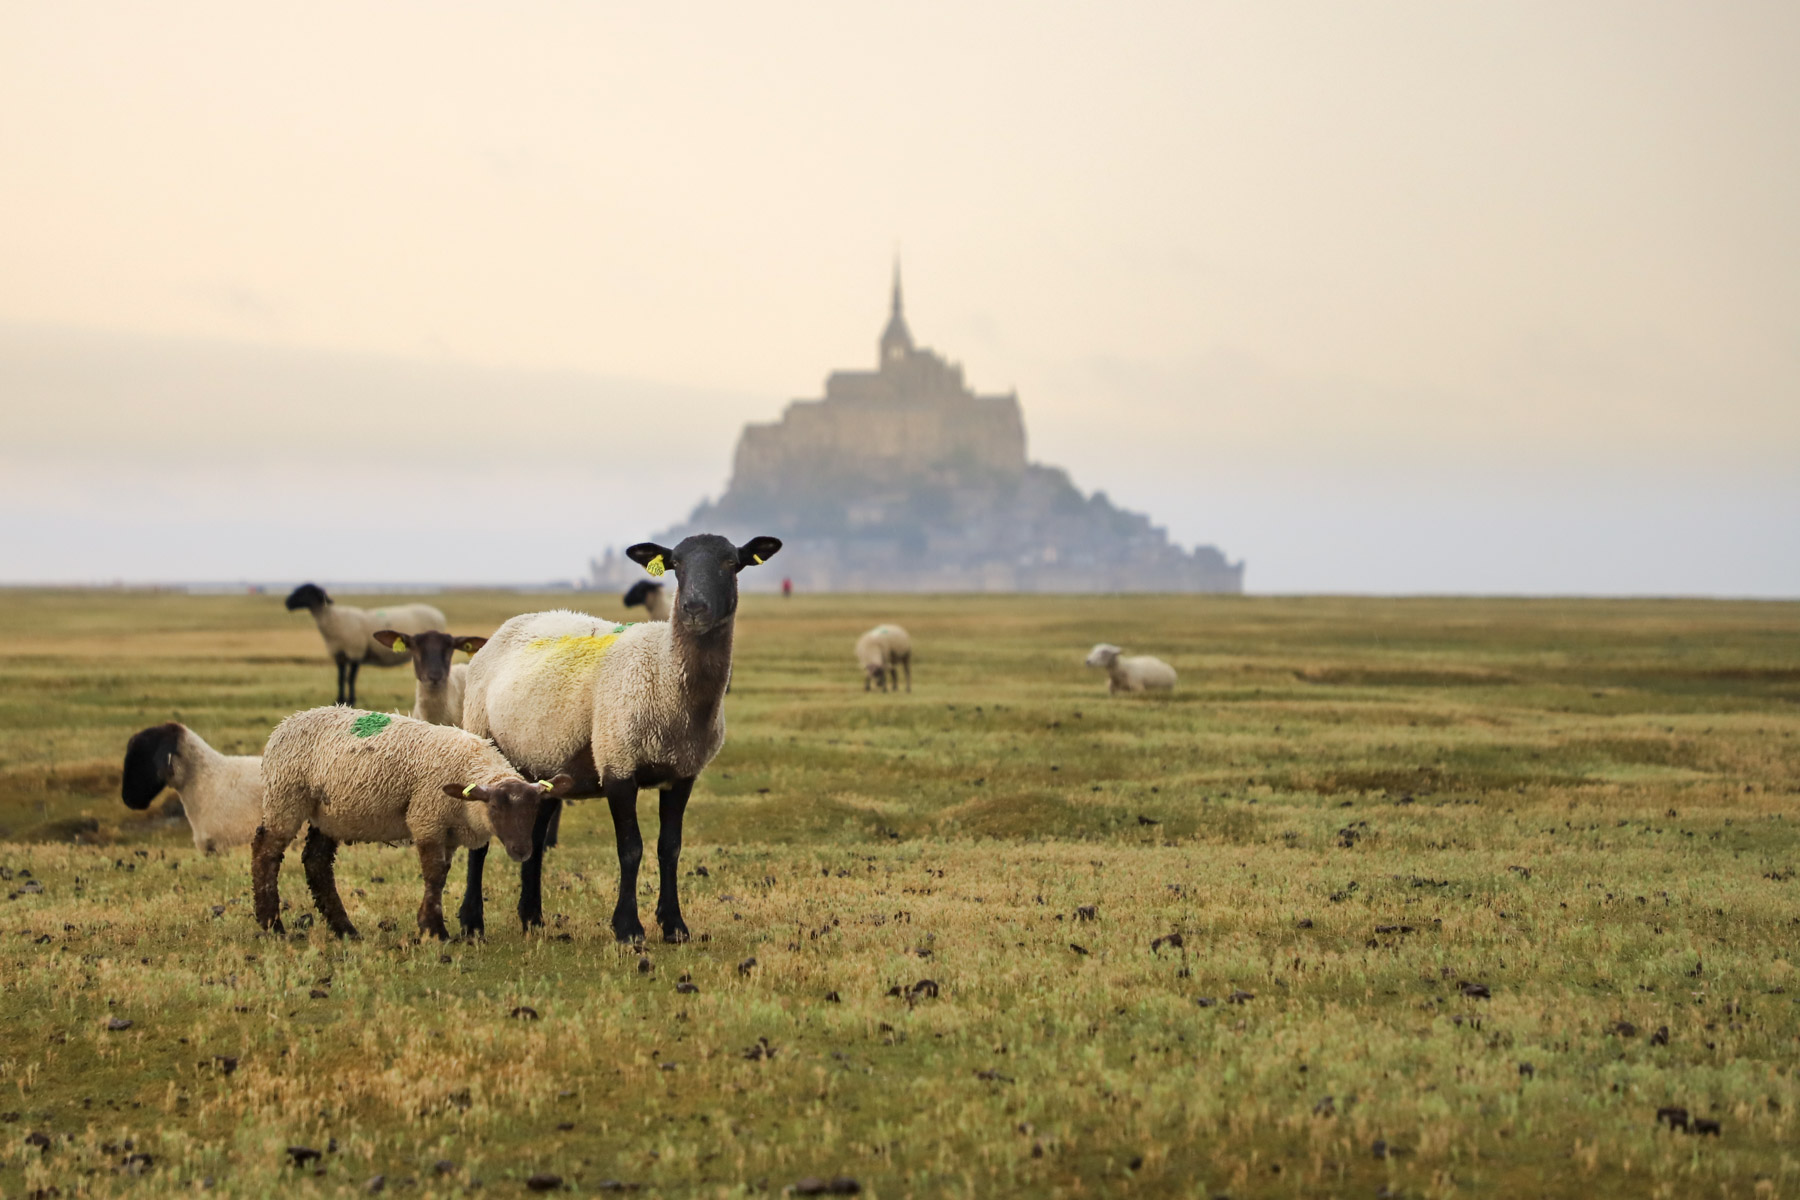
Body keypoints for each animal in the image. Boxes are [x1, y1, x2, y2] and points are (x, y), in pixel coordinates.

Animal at [253, 708, 572, 942]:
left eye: (534, 809)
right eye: (494, 807)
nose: (521, 851)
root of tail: (286, 724)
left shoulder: (448, 832)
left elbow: (442, 874)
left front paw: (430, 926)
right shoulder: (427, 818)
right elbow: (434, 875)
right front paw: (435, 930)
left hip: (328, 814)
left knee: (316, 861)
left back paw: (345, 929)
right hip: (286, 797)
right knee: (266, 852)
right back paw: (272, 925)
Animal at [284, 582, 450, 705]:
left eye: (305, 592)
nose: (287, 603)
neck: (332, 618)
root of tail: (439, 614)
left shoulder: (355, 652)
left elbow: (350, 679)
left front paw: (351, 701)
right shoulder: (340, 654)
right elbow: (340, 679)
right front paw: (339, 701)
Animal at [457, 528, 781, 942]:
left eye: (731, 563)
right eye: (676, 565)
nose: (693, 608)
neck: (666, 669)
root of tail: (506, 628)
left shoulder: (683, 772)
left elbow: (669, 848)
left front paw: (674, 925)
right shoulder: (618, 762)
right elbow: (631, 849)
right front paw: (628, 928)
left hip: (542, 762)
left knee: (537, 832)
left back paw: (532, 916)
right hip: (483, 735)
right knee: (480, 838)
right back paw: (471, 922)